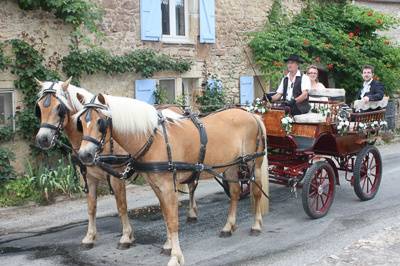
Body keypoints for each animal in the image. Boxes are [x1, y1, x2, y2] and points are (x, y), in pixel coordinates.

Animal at [75, 92, 268, 264]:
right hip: (231, 166)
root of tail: (251, 114)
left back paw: (256, 225)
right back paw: (229, 227)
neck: (154, 139)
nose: (84, 155)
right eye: (81, 123)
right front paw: (168, 246)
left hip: (253, 164)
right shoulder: (156, 186)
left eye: (101, 122)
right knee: (235, 193)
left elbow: (173, 221)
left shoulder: (168, 187)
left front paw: (176, 257)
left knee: (256, 192)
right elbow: (165, 216)